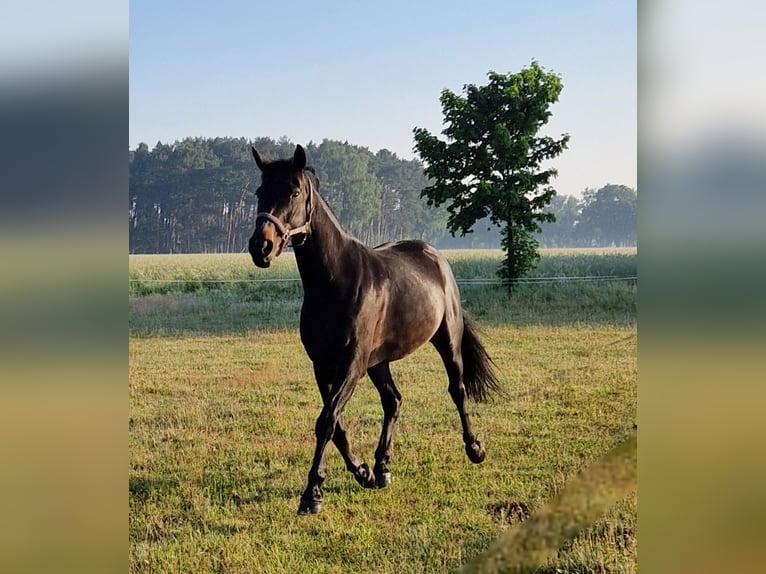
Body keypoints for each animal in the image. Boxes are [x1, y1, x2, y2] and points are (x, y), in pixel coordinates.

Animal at [248, 145, 504, 516]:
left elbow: (326, 420)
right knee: (393, 400)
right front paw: (362, 472)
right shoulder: (323, 366)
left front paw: (312, 493)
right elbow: (336, 424)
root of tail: (434, 255)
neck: (335, 281)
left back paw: (474, 448)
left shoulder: (351, 364)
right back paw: (382, 467)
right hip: (379, 362)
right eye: (259, 192)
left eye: (294, 192)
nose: (261, 247)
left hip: (446, 341)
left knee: (456, 390)